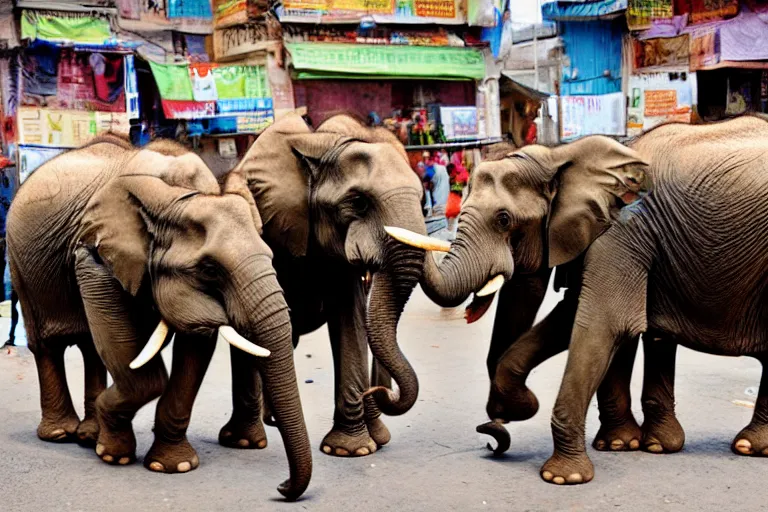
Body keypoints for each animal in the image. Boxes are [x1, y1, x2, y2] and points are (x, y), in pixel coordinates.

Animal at [6, 133, 312, 500]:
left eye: (270, 257)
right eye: (210, 269)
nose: (281, 487)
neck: (178, 197)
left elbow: (196, 340)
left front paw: (172, 466)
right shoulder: (94, 255)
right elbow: (146, 374)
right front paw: (115, 456)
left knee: (91, 346)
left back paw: (88, 436)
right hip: (18, 264)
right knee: (46, 345)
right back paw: (60, 435)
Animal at [219, 114, 428, 458]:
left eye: (422, 198)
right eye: (359, 202)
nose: (379, 390)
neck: (324, 146)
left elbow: (350, 321)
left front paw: (348, 451)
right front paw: (245, 444)